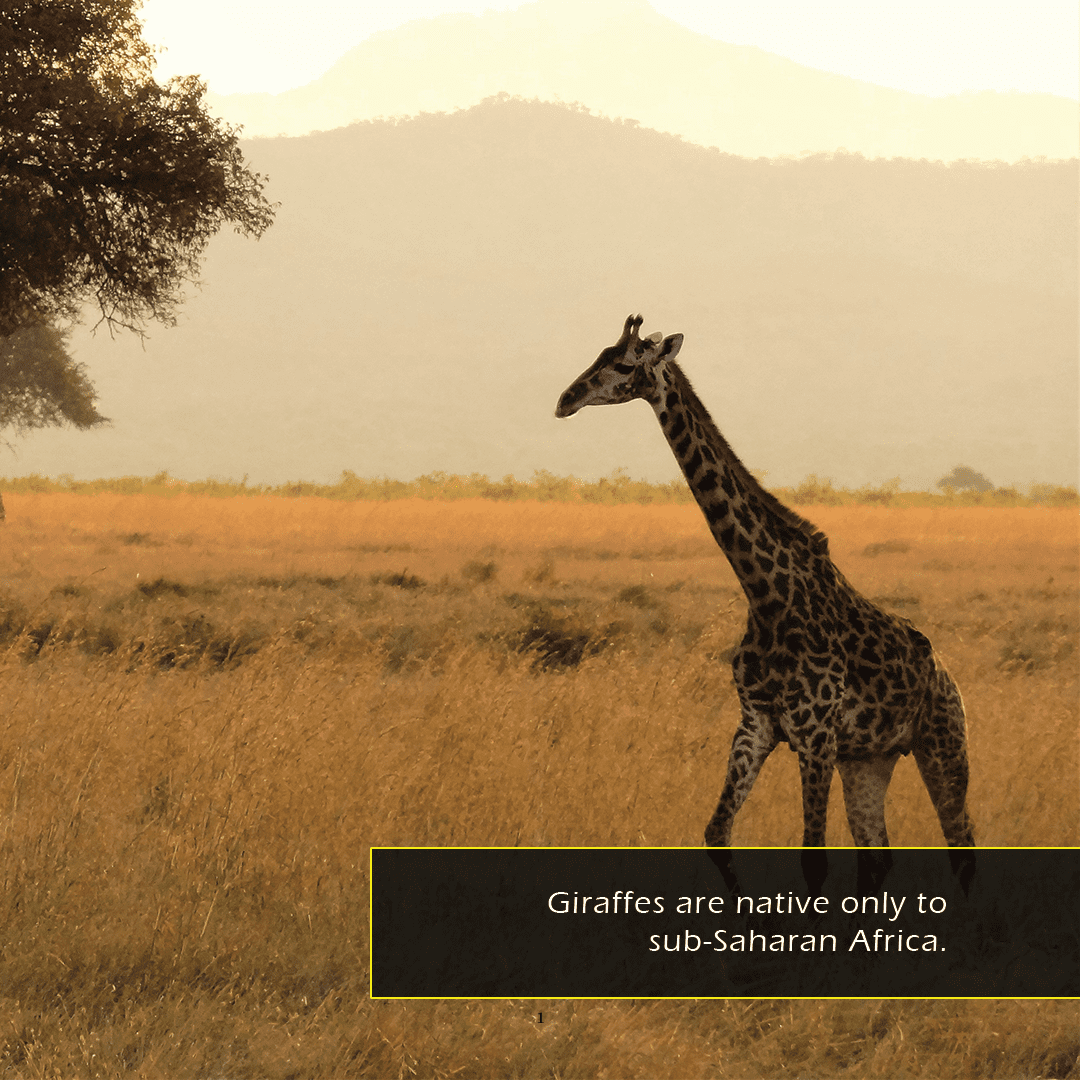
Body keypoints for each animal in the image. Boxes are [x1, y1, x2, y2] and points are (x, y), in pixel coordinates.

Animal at [555, 314, 975, 849]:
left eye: (626, 365)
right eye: (599, 354)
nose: (565, 399)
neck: (766, 595)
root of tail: (946, 673)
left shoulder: (815, 735)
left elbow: (812, 845)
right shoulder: (756, 724)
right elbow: (716, 830)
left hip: (944, 745)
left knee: (962, 837)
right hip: (868, 758)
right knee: (878, 845)